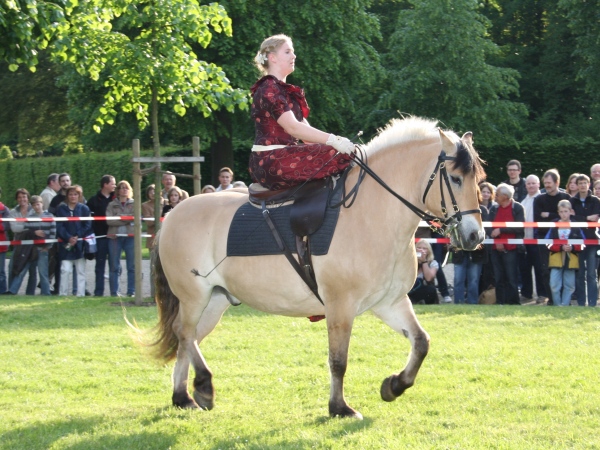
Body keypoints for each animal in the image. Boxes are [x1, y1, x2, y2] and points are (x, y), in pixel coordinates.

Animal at [151, 115, 488, 418]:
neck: (373, 214)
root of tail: (172, 216)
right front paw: (339, 407)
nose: (475, 236)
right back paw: (203, 385)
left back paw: (183, 396)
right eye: (455, 178)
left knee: (189, 339)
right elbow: (338, 360)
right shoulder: (340, 307)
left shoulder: (390, 302)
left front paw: (393, 386)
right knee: (184, 332)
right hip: (194, 297)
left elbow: (421, 343)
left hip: (214, 301)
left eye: (478, 180)